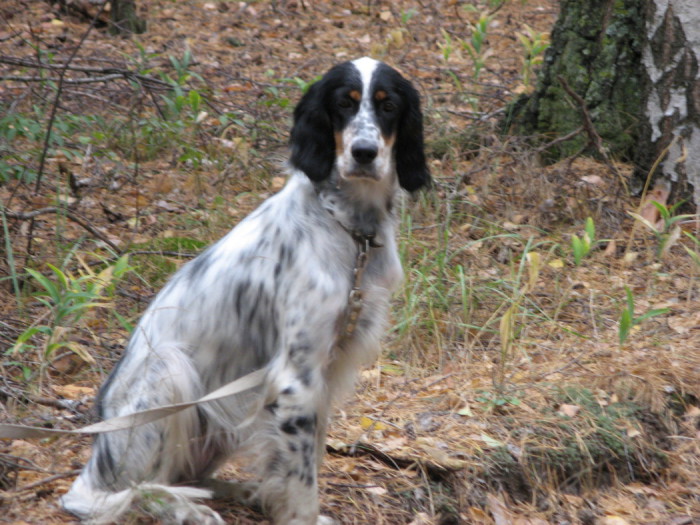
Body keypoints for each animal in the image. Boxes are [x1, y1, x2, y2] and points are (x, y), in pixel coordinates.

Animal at [63, 57, 430, 524]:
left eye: (388, 105)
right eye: (344, 104)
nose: (364, 152)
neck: (351, 230)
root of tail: (93, 467)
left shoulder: (323, 373)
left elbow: (303, 460)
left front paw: (278, 501)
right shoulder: (295, 379)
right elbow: (303, 479)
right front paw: (301, 516)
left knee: (189, 476)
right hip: (169, 371)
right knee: (127, 491)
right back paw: (187, 510)